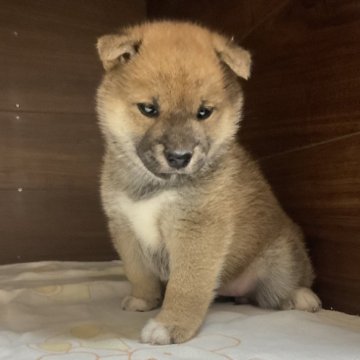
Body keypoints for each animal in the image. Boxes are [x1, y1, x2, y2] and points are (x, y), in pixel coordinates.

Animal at [95, 20, 320, 346]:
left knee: (284, 288)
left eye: (204, 112)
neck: (155, 188)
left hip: (282, 261)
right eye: (148, 109)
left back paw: (301, 297)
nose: (179, 157)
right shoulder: (124, 227)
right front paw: (144, 300)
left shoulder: (198, 229)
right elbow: (138, 272)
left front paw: (170, 325)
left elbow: (187, 285)